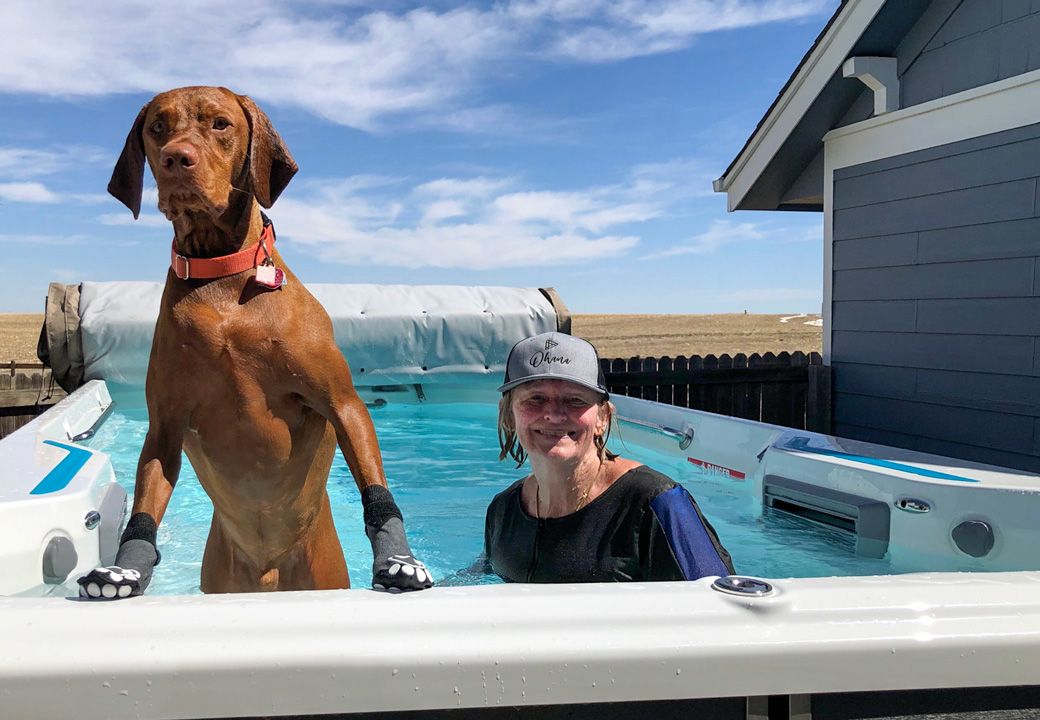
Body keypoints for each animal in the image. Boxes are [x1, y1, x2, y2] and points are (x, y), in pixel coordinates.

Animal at [75, 87, 428, 599]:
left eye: (220, 124)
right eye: (157, 128)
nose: (175, 158)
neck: (221, 278)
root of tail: (268, 571)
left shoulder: (342, 402)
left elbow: (371, 477)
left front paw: (397, 557)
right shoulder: (165, 425)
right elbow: (146, 502)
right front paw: (127, 568)